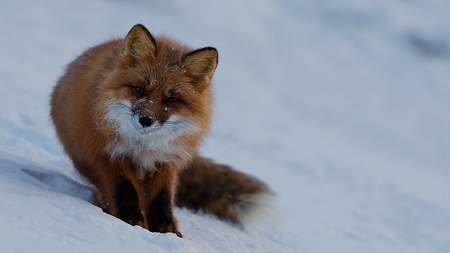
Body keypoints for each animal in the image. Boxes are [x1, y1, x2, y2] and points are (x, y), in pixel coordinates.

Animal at [51, 24, 268, 237]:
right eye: (139, 89)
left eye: (171, 99)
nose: (146, 120)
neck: (144, 146)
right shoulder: (110, 154)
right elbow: (124, 190)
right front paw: (131, 220)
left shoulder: (166, 161)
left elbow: (161, 199)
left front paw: (166, 230)